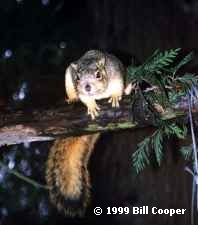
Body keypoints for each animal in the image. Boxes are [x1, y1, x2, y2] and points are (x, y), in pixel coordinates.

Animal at [45, 50, 127, 216]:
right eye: (77, 78)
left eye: (98, 75)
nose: (87, 87)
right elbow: (84, 97)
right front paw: (90, 104)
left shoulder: (115, 72)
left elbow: (118, 85)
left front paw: (116, 96)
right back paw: (72, 99)